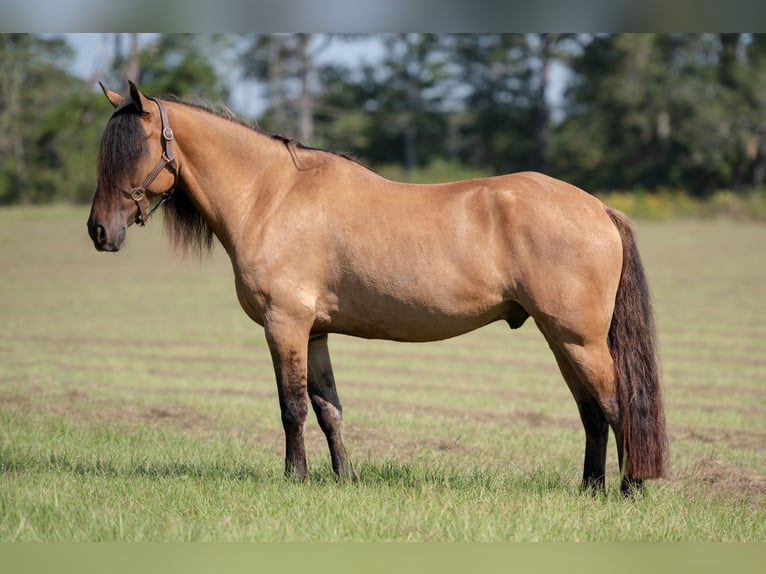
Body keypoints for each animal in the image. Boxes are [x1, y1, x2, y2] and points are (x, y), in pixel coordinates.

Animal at [87, 83, 668, 498]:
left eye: (133, 149)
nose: (98, 231)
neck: (271, 196)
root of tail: (598, 208)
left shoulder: (285, 324)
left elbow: (291, 406)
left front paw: (295, 479)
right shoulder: (314, 332)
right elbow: (328, 407)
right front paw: (345, 478)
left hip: (578, 339)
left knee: (616, 406)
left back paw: (628, 490)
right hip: (561, 338)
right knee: (592, 411)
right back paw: (590, 489)